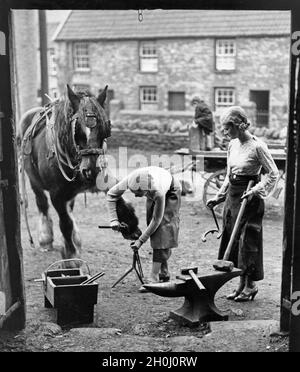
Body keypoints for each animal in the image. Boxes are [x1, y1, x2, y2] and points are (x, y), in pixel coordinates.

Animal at [17, 84, 142, 264]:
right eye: (78, 131)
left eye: (105, 129)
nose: (91, 170)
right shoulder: (56, 194)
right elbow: (65, 222)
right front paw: (71, 253)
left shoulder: (102, 179)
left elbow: (117, 197)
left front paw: (130, 224)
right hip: (34, 180)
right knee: (42, 203)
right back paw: (46, 238)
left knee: (69, 206)